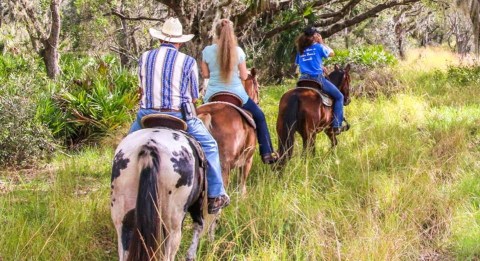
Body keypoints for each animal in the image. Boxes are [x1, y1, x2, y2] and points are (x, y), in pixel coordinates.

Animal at [111, 127, 207, 260]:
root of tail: (149, 147)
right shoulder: (197, 204)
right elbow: (199, 225)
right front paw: (190, 255)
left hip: (121, 218)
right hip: (173, 225)